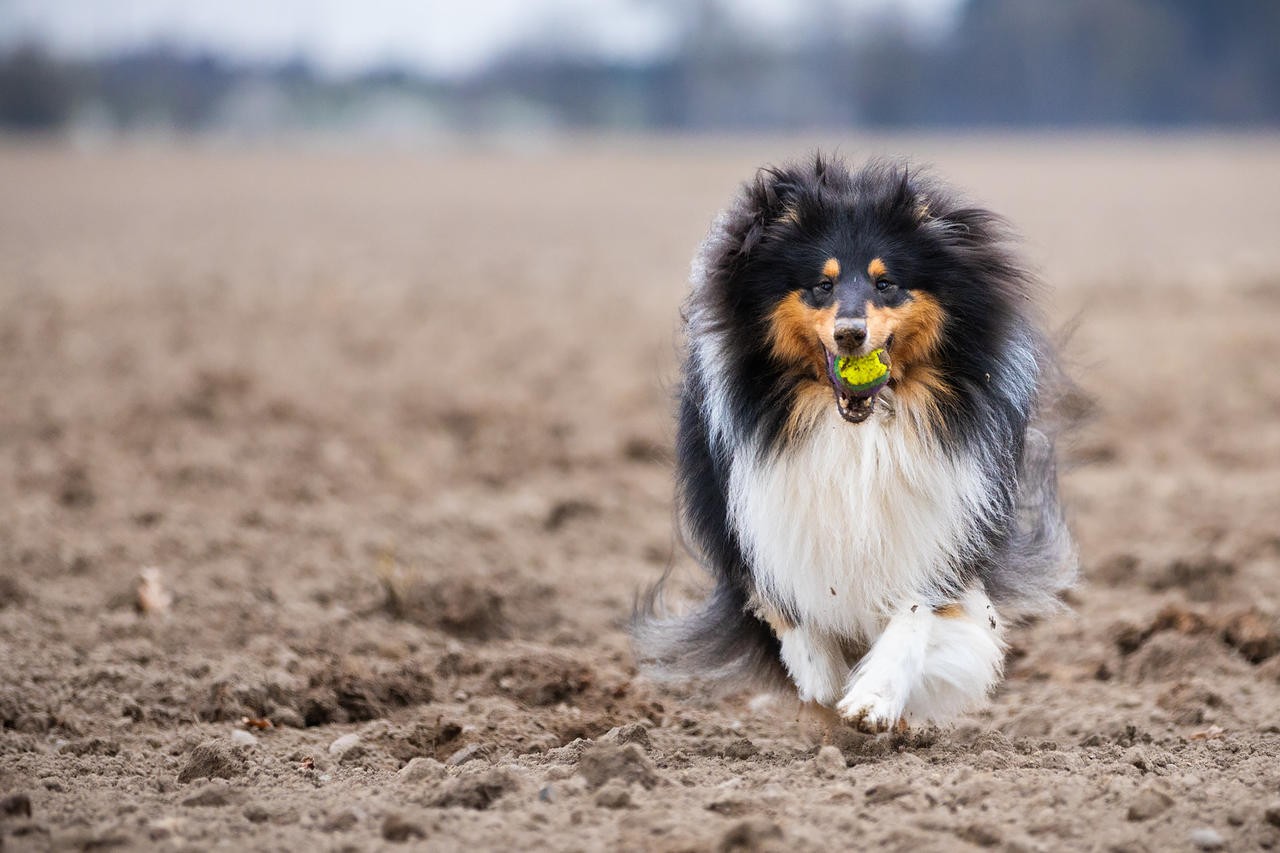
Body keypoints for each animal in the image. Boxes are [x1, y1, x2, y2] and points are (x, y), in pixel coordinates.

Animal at [634, 156, 1075, 727]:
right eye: (821, 286)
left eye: (885, 283)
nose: (849, 333)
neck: (858, 434)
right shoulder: (758, 517)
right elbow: (789, 609)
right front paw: (823, 680)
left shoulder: (943, 526)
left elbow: (915, 611)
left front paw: (873, 700)